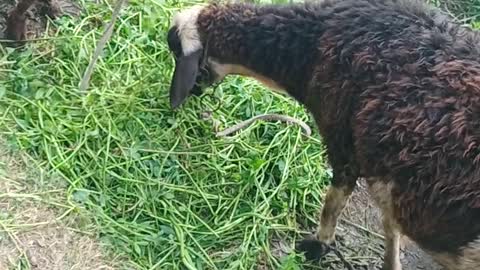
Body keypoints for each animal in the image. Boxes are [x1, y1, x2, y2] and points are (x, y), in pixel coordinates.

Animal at [167, 1, 480, 268]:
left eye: (176, 53)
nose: (189, 95)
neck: (309, 47)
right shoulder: (385, 175)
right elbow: (390, 228)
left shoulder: (343, 143)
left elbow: (333, 204)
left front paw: (319, 245)